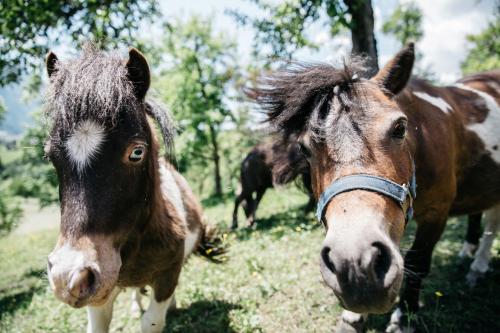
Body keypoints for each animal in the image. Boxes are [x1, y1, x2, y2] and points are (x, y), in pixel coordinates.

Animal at [252, 42, 498, 330]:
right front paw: (353, 318)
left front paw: (404, 318)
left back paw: (478, 266)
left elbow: (418, 261)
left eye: (400, 128)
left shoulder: (437, 213)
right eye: (304, 148)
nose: (355, 265)